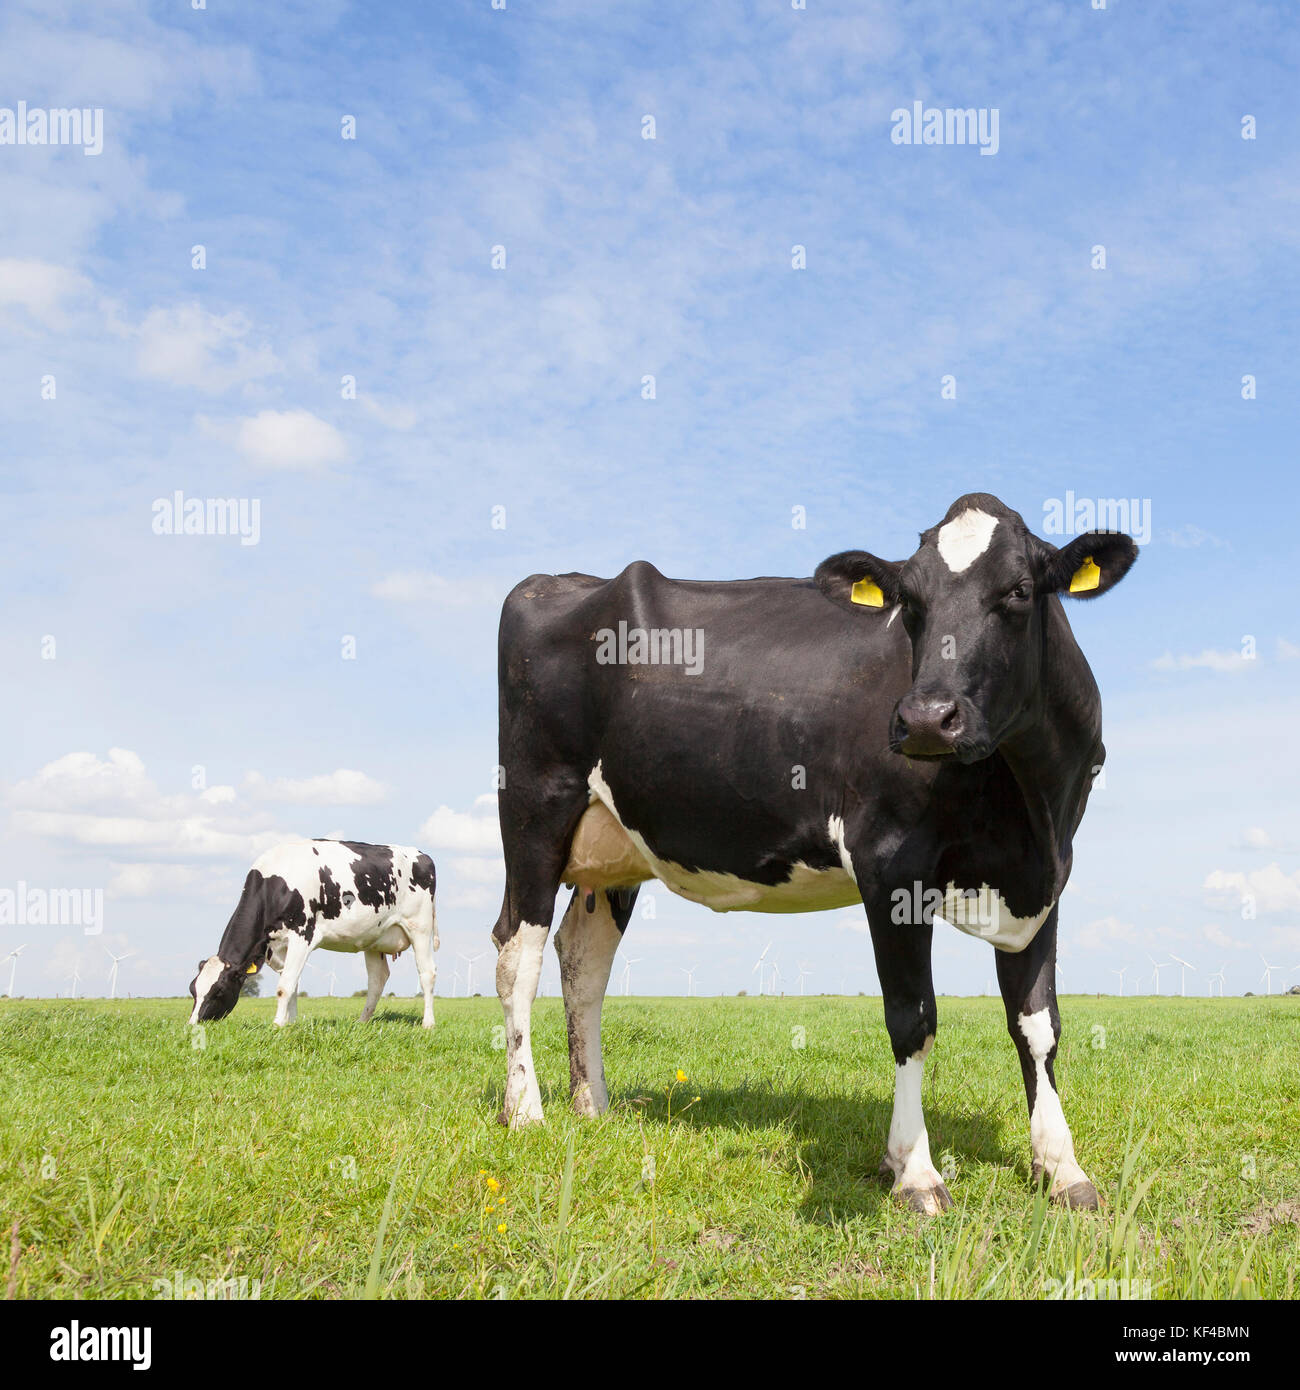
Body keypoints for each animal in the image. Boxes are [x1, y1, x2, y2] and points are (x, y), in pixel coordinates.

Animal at [189, 840, 438, 1028]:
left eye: (218, 991)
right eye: (192, 989)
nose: (193, 1024)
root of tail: (422, 855)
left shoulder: (302, 935)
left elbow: (284, 986)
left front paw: (277, 1025)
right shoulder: (280, 946)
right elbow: (292, 983)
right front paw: (290, 1023)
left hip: (420, 928)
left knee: (427, 973)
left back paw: (428, 1023)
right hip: (374, 938)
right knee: (377, 979)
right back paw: (362, 1022)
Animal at [491, 493, 1137, 1213]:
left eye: (1020, 591)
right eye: (910, 602)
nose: (925, 718)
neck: (1025, 805)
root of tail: (554, 580)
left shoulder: (1046, 877)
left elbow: (1038, 1023)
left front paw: (1061, 1166)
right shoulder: (889, 864)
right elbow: (912, 1018)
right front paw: (913, 1171)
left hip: (613, 847)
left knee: (583, 959)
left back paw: (593, 1103)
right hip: (535, 806)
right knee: (517, 953)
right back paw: (525, 1110)